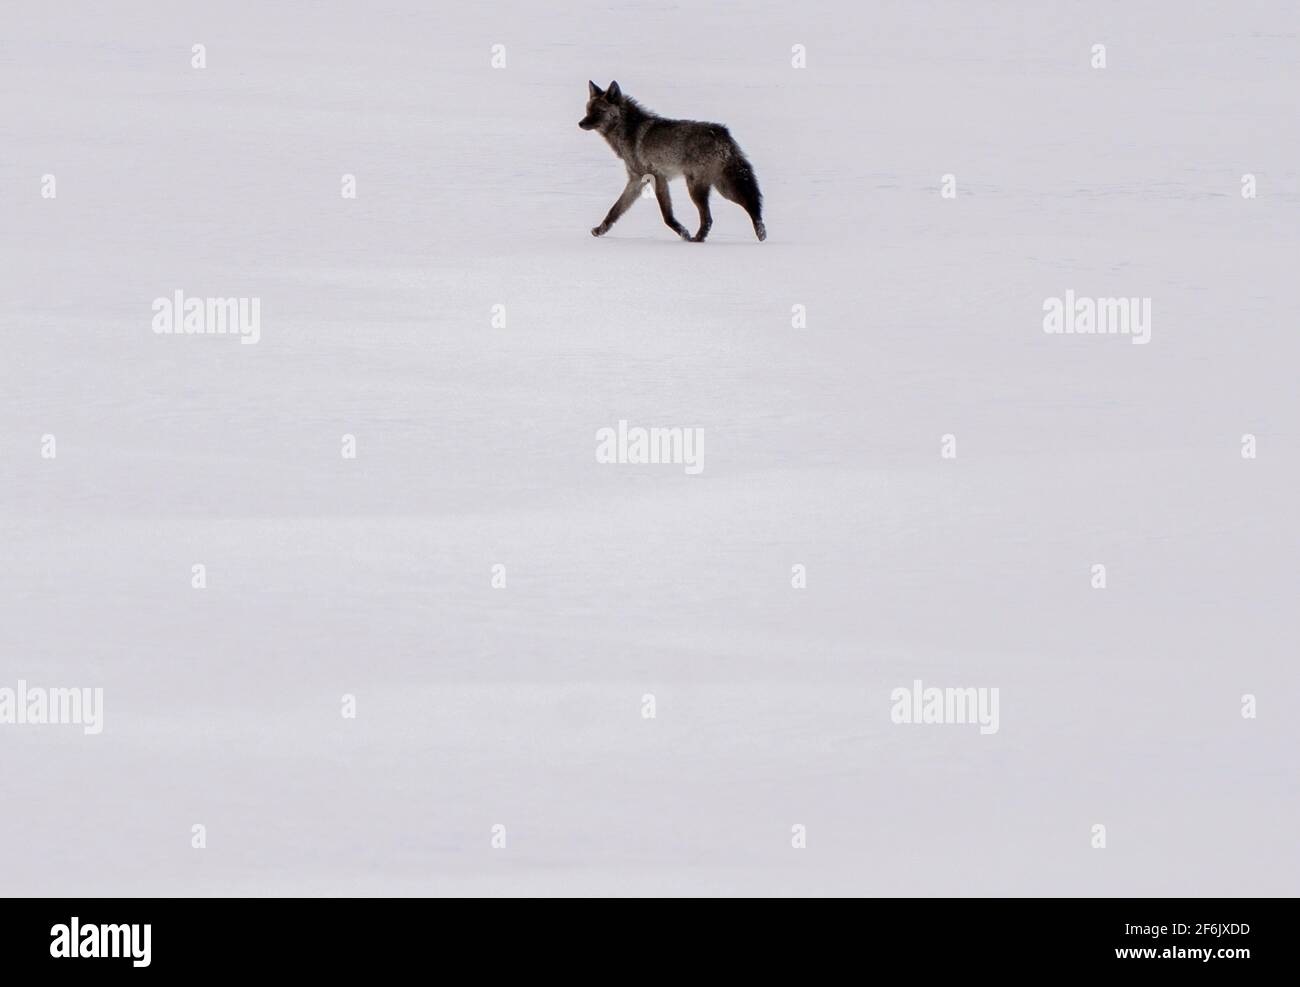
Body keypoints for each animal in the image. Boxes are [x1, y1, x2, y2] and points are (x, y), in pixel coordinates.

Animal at [579, 80, 766, 243]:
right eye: (588, 110)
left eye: (599, 112)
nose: (580, 123)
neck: (627, 131)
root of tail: (722, 133)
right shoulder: (636, 181)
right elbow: (615, 210)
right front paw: (599, 230)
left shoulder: (658, 178)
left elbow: (667, 216)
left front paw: (684, 233)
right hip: (720, 187)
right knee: (740, 207)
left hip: (702, 188)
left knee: (714, 216)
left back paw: (699, 239)